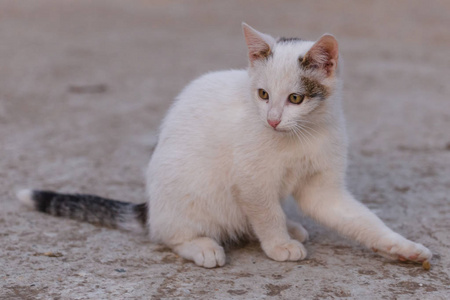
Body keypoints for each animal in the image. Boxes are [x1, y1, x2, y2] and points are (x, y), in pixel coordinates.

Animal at [18, 22, 432, 268]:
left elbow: (361, 219)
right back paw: (203, 246)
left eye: (295, 99)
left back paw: (291, 227)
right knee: (168, 234)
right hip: (187, 193)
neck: (301, 135)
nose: (272, 120)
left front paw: (404, 247)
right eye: (263, 95)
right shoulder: (250, 179)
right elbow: (265, 213)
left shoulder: (324, 188)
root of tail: (149, 207)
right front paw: (278, 245)